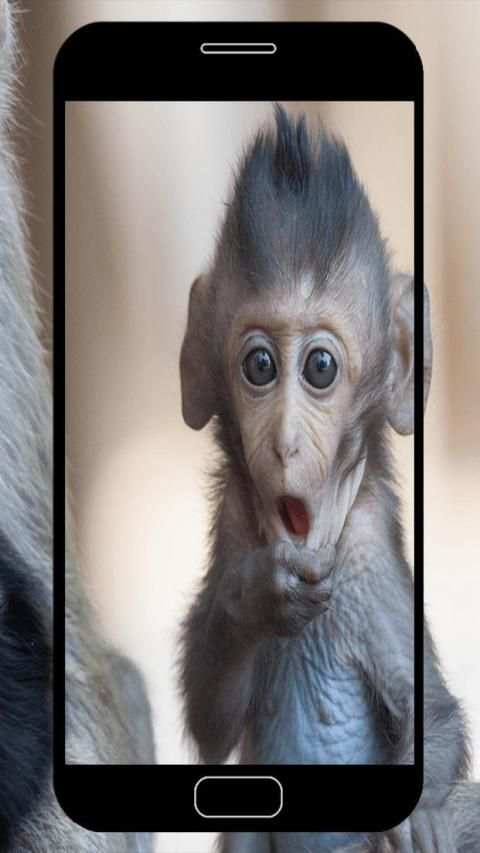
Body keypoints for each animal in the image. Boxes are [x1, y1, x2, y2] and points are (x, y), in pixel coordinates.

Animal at [179, 105, 480, 852]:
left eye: (320, 368)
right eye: (259, 365)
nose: (285, 442)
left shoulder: (365, 557)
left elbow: (434, 715)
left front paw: (419, 816)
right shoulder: (236, 519)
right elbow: (211, 720)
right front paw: (259, 598)